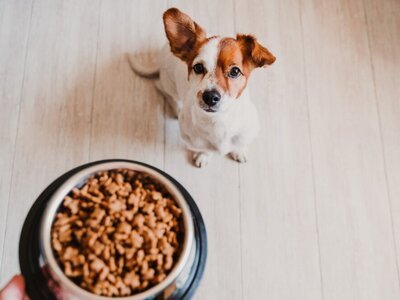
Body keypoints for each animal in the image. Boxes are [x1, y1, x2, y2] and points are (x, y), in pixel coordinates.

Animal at [130, 7, 276, 166]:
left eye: (235, 71)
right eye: (198, 67)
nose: (210, 97)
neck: (218, 121)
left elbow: (239, 144)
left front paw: (239, 151)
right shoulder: (194, 141)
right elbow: (204, 149)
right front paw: (204, 155)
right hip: (168, 85)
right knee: (163, 90)